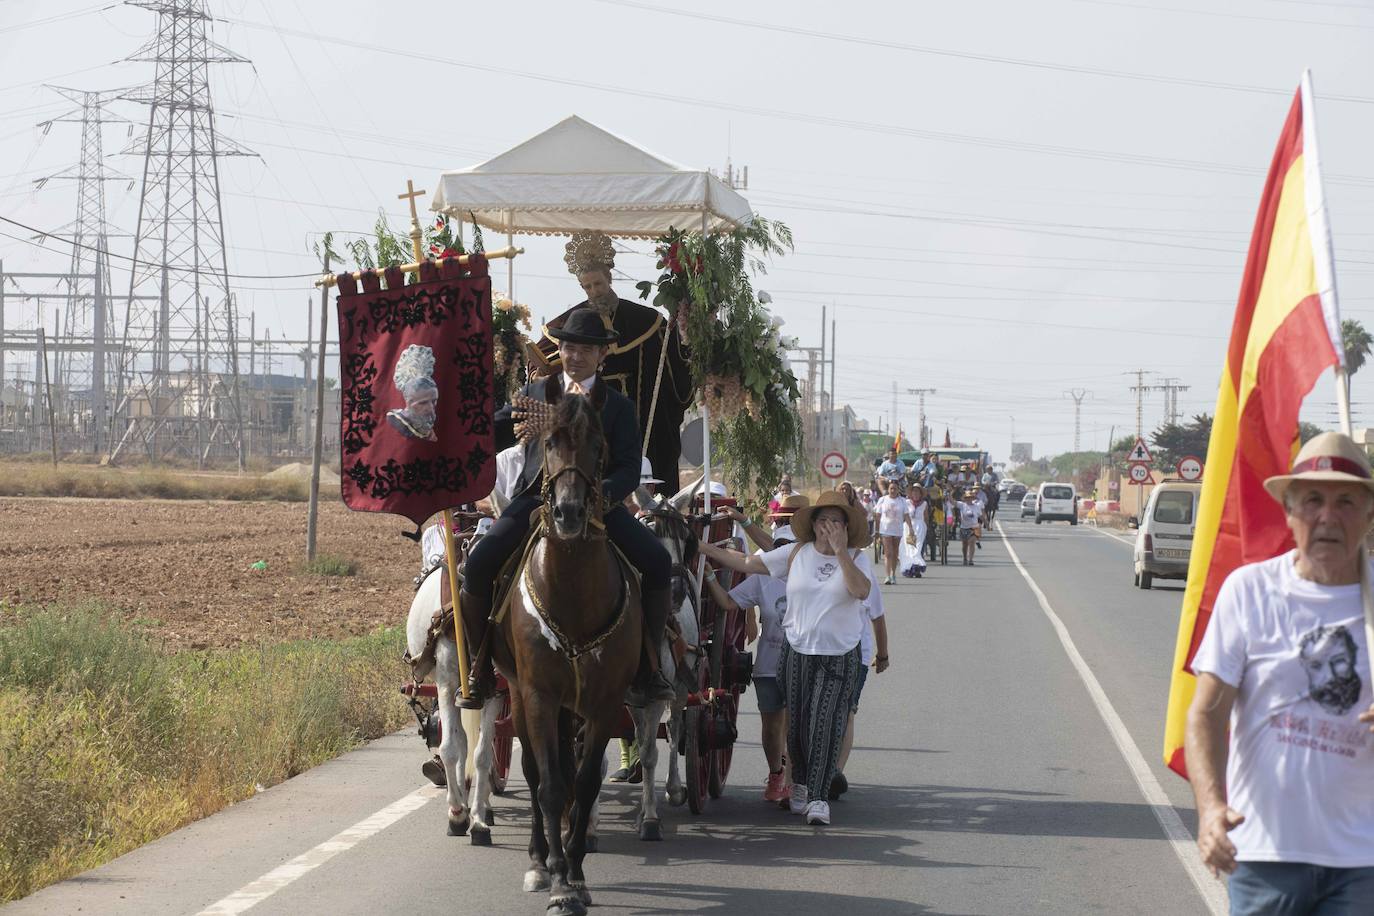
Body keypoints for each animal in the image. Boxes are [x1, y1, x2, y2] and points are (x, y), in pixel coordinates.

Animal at [491, 395, 640, 916]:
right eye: (549, 442)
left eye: (598, 445)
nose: (570, 513)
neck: (572, 593)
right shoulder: (538, 694)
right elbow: (552, 786)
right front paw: (556, 880)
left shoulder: (605, 701)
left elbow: (586, 781)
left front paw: (575, 873)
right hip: (520, 695)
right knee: (537, 774)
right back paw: (538, 859)